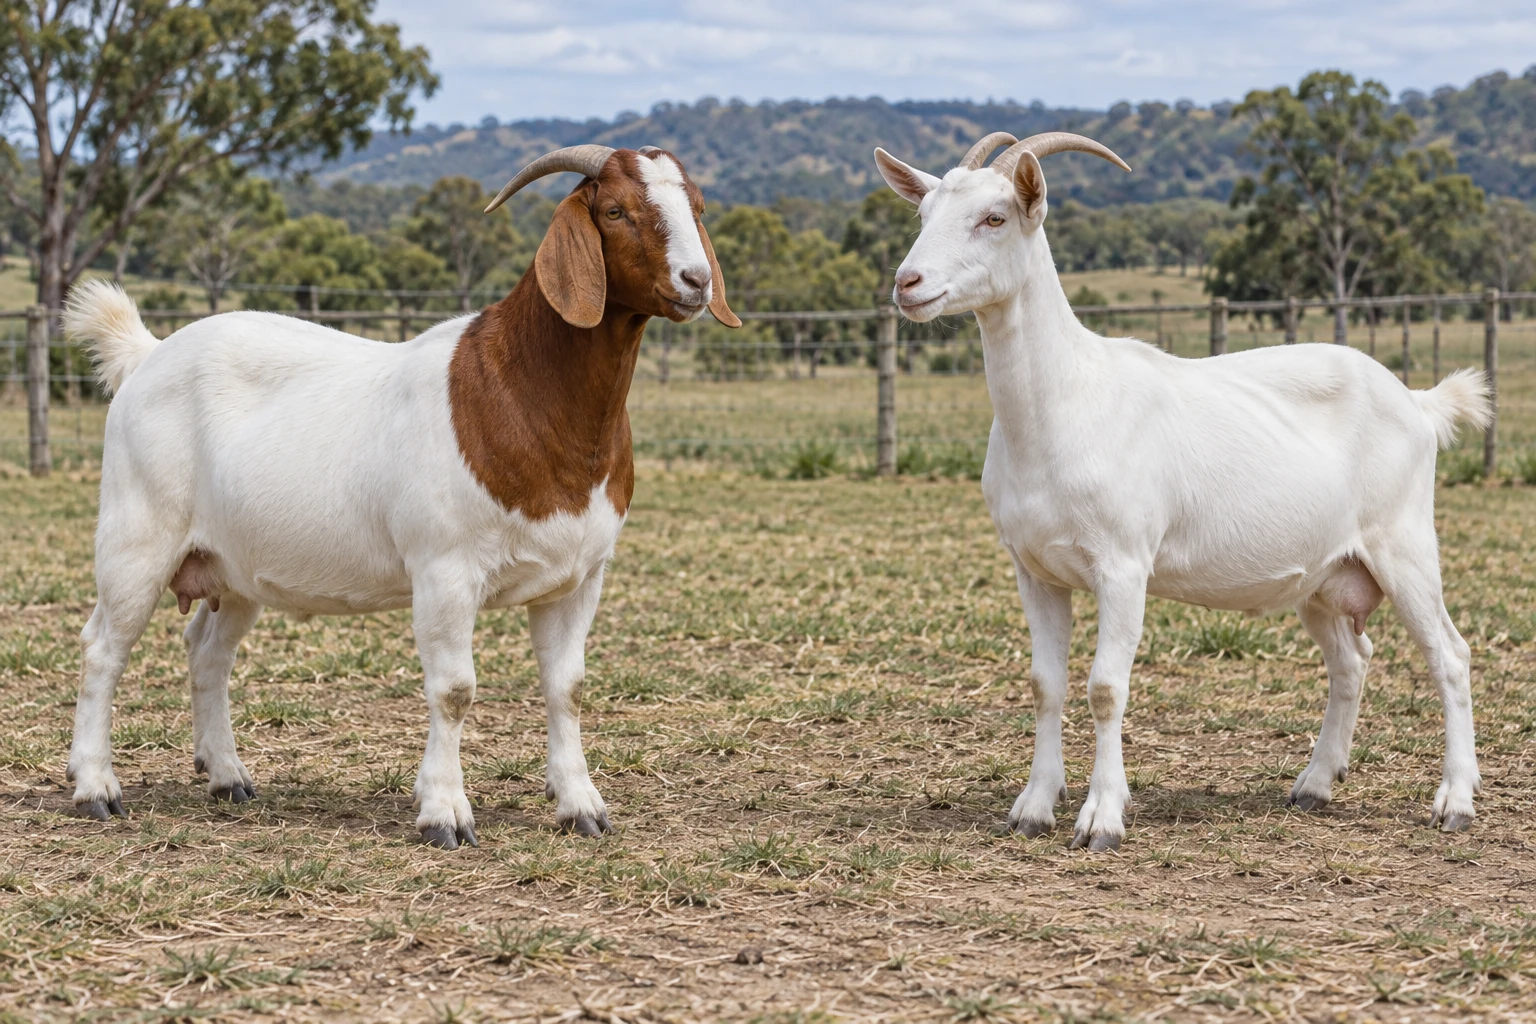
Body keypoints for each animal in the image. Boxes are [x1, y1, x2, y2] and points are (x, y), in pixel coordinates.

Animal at [62, 145, 740, 848]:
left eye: (696, 207)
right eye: (614, 211)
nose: (696, 281)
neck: (523, 390)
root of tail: (146, 356)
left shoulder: (580, 576)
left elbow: (567, 688)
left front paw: (581, 805)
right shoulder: (444, 569)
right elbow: (454, 690)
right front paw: (444, 812)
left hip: (234, 566)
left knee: (207, 652)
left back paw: (227, 776)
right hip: (137, 537)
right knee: (102, 649)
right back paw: (96, 788)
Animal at [874, 131, 1492, 851]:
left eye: (995, 218)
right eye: (923, 214)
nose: (907, 283)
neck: (1066, 401)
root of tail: (1418, 403)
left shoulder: (1123, 564)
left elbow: (1105, 688)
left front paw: (1101, 818)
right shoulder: (1034, 569)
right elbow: (1045, 684)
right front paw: (1033, 806)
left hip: (1404, 543)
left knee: (1449, 655)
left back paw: (1455, 800)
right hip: (1322, 575)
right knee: (1351, 660)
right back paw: (1315, 784)